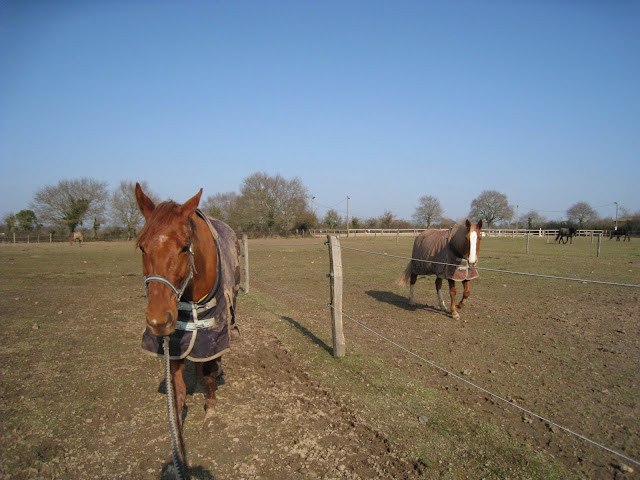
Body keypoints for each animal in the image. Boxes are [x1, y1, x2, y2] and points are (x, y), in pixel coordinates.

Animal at [135, 183, 240, 455]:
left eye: (184, 247)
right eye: (142, 246)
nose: (158, 319)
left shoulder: (213, 333)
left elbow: (210, 372)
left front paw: (211, 413)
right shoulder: (174, 341)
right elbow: (178, 386)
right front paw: (178, 432)